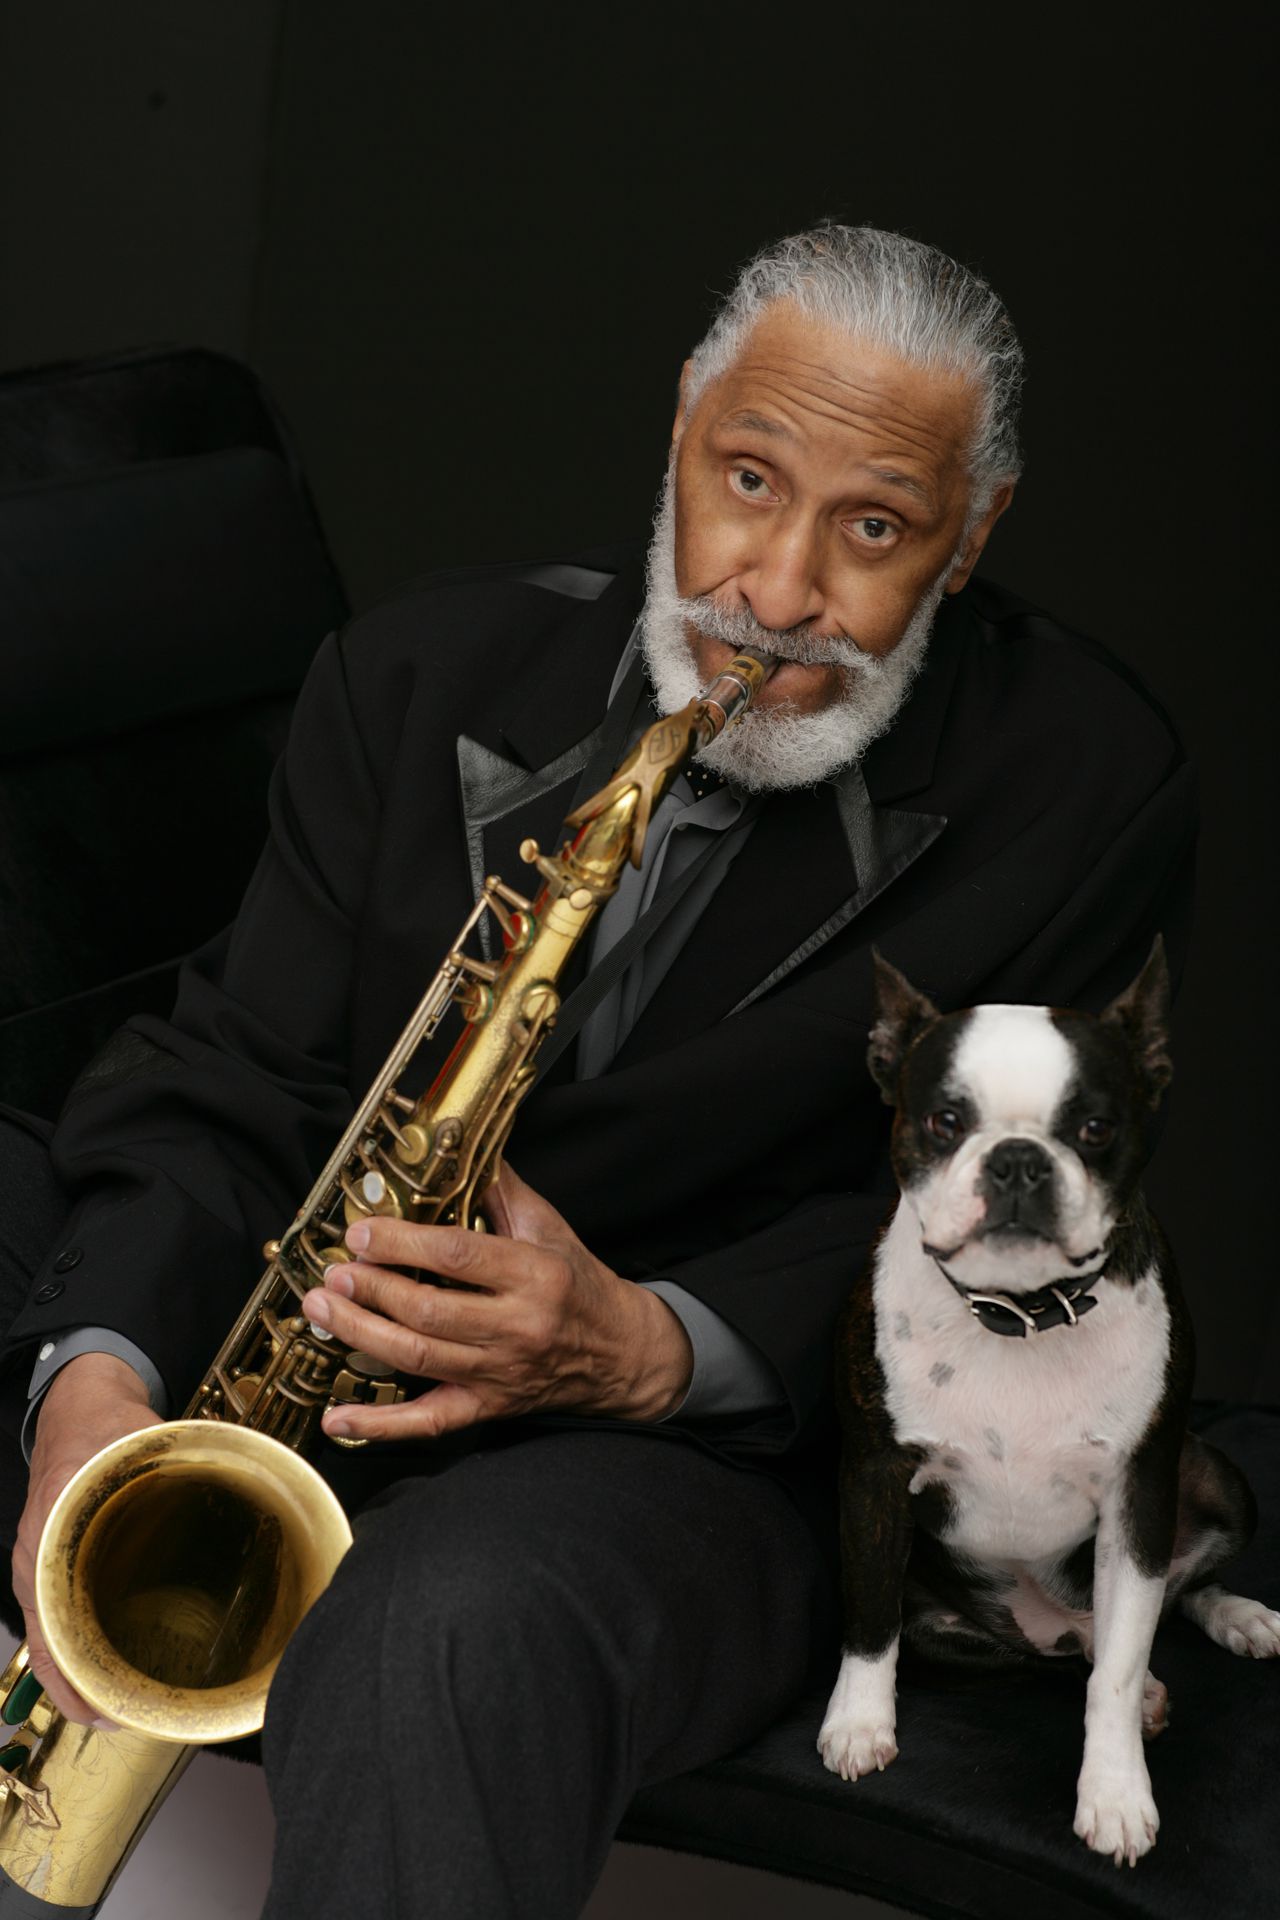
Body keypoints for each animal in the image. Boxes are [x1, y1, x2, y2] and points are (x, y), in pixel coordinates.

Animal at [821, 936, 1280, 1866]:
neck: (1021, 1314)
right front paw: (857, 1723)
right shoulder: (872, 1475)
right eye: (944, 1122)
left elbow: (1119, 1670)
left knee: (1150, 1613)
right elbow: (869, 1613)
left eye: (1096, 1129)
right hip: (961, 1642)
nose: (1018, 1159)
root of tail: (1052, 1618)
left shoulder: (1141, 1492)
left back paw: (1234, 1617)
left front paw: (1115, 1793)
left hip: (1218, 1476)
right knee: (1055, 1655)